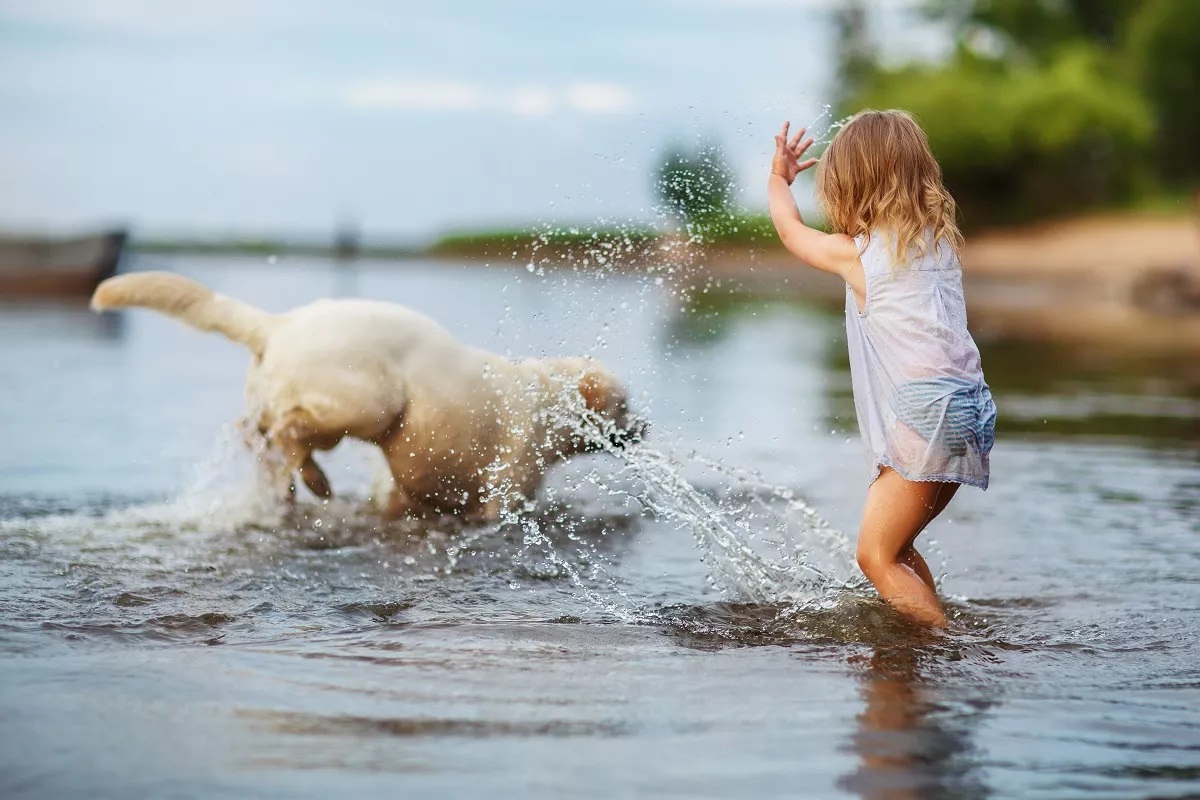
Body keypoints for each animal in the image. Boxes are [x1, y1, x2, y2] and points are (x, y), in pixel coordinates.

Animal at [92, 272, 643, 522]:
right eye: (624, 406)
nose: (644, 428)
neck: (547, 400)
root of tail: (279, 323)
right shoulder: (502, 496)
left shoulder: (406, 493)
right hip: (372, 402)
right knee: (288, 431)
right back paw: (313, 483)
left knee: (258, 435)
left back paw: (296, 486)